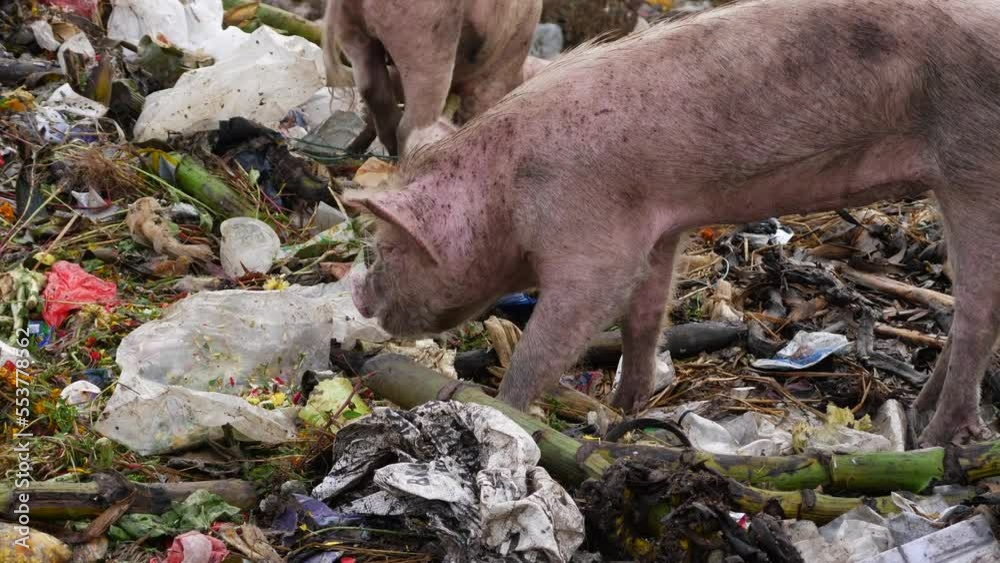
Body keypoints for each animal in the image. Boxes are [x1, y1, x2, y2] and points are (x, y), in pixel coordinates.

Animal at [322, 0, 543, 156]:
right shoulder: (493, 79)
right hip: (426, 38)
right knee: (410, 127)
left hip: (352, 33)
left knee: (374, 94)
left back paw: (359, 152)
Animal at [346, 0, 1000, 447]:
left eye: (383, 249)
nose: (356, 295)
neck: (506, 191)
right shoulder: (656, 227)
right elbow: (644, 312)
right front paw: (628, 406)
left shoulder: (593, 236)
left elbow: (562, 328)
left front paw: (502, 411)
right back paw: (920, 415)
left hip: (975, 164)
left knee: (977, 314)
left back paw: (941, 438)